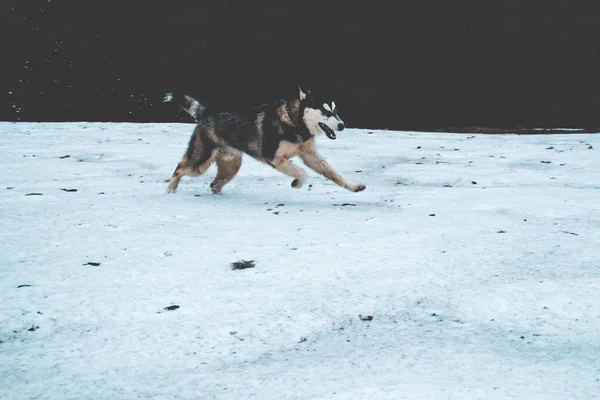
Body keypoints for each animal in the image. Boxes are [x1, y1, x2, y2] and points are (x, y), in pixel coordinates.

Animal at [162, 86, 366, 195]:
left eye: (335, 110)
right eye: (325, 111)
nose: (342, 125)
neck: (295, 122)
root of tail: (206, 112)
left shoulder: (310, 155)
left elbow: (335, 174)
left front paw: (354, 186)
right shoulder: (273, 157)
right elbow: (302, 173)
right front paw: (296, 183)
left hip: (231, 165)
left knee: (214, 184)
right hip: (200, 163)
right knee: (180, 167)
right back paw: (170, 191)